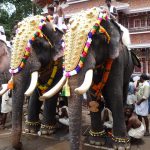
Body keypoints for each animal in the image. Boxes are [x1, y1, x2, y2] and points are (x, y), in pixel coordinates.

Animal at [39, 7, 139, 150]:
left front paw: (121, 145)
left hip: (129, 68)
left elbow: (114, 93)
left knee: (122, 92)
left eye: (95, 38)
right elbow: (92, 94)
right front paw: (96, 142)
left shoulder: (118, 58)